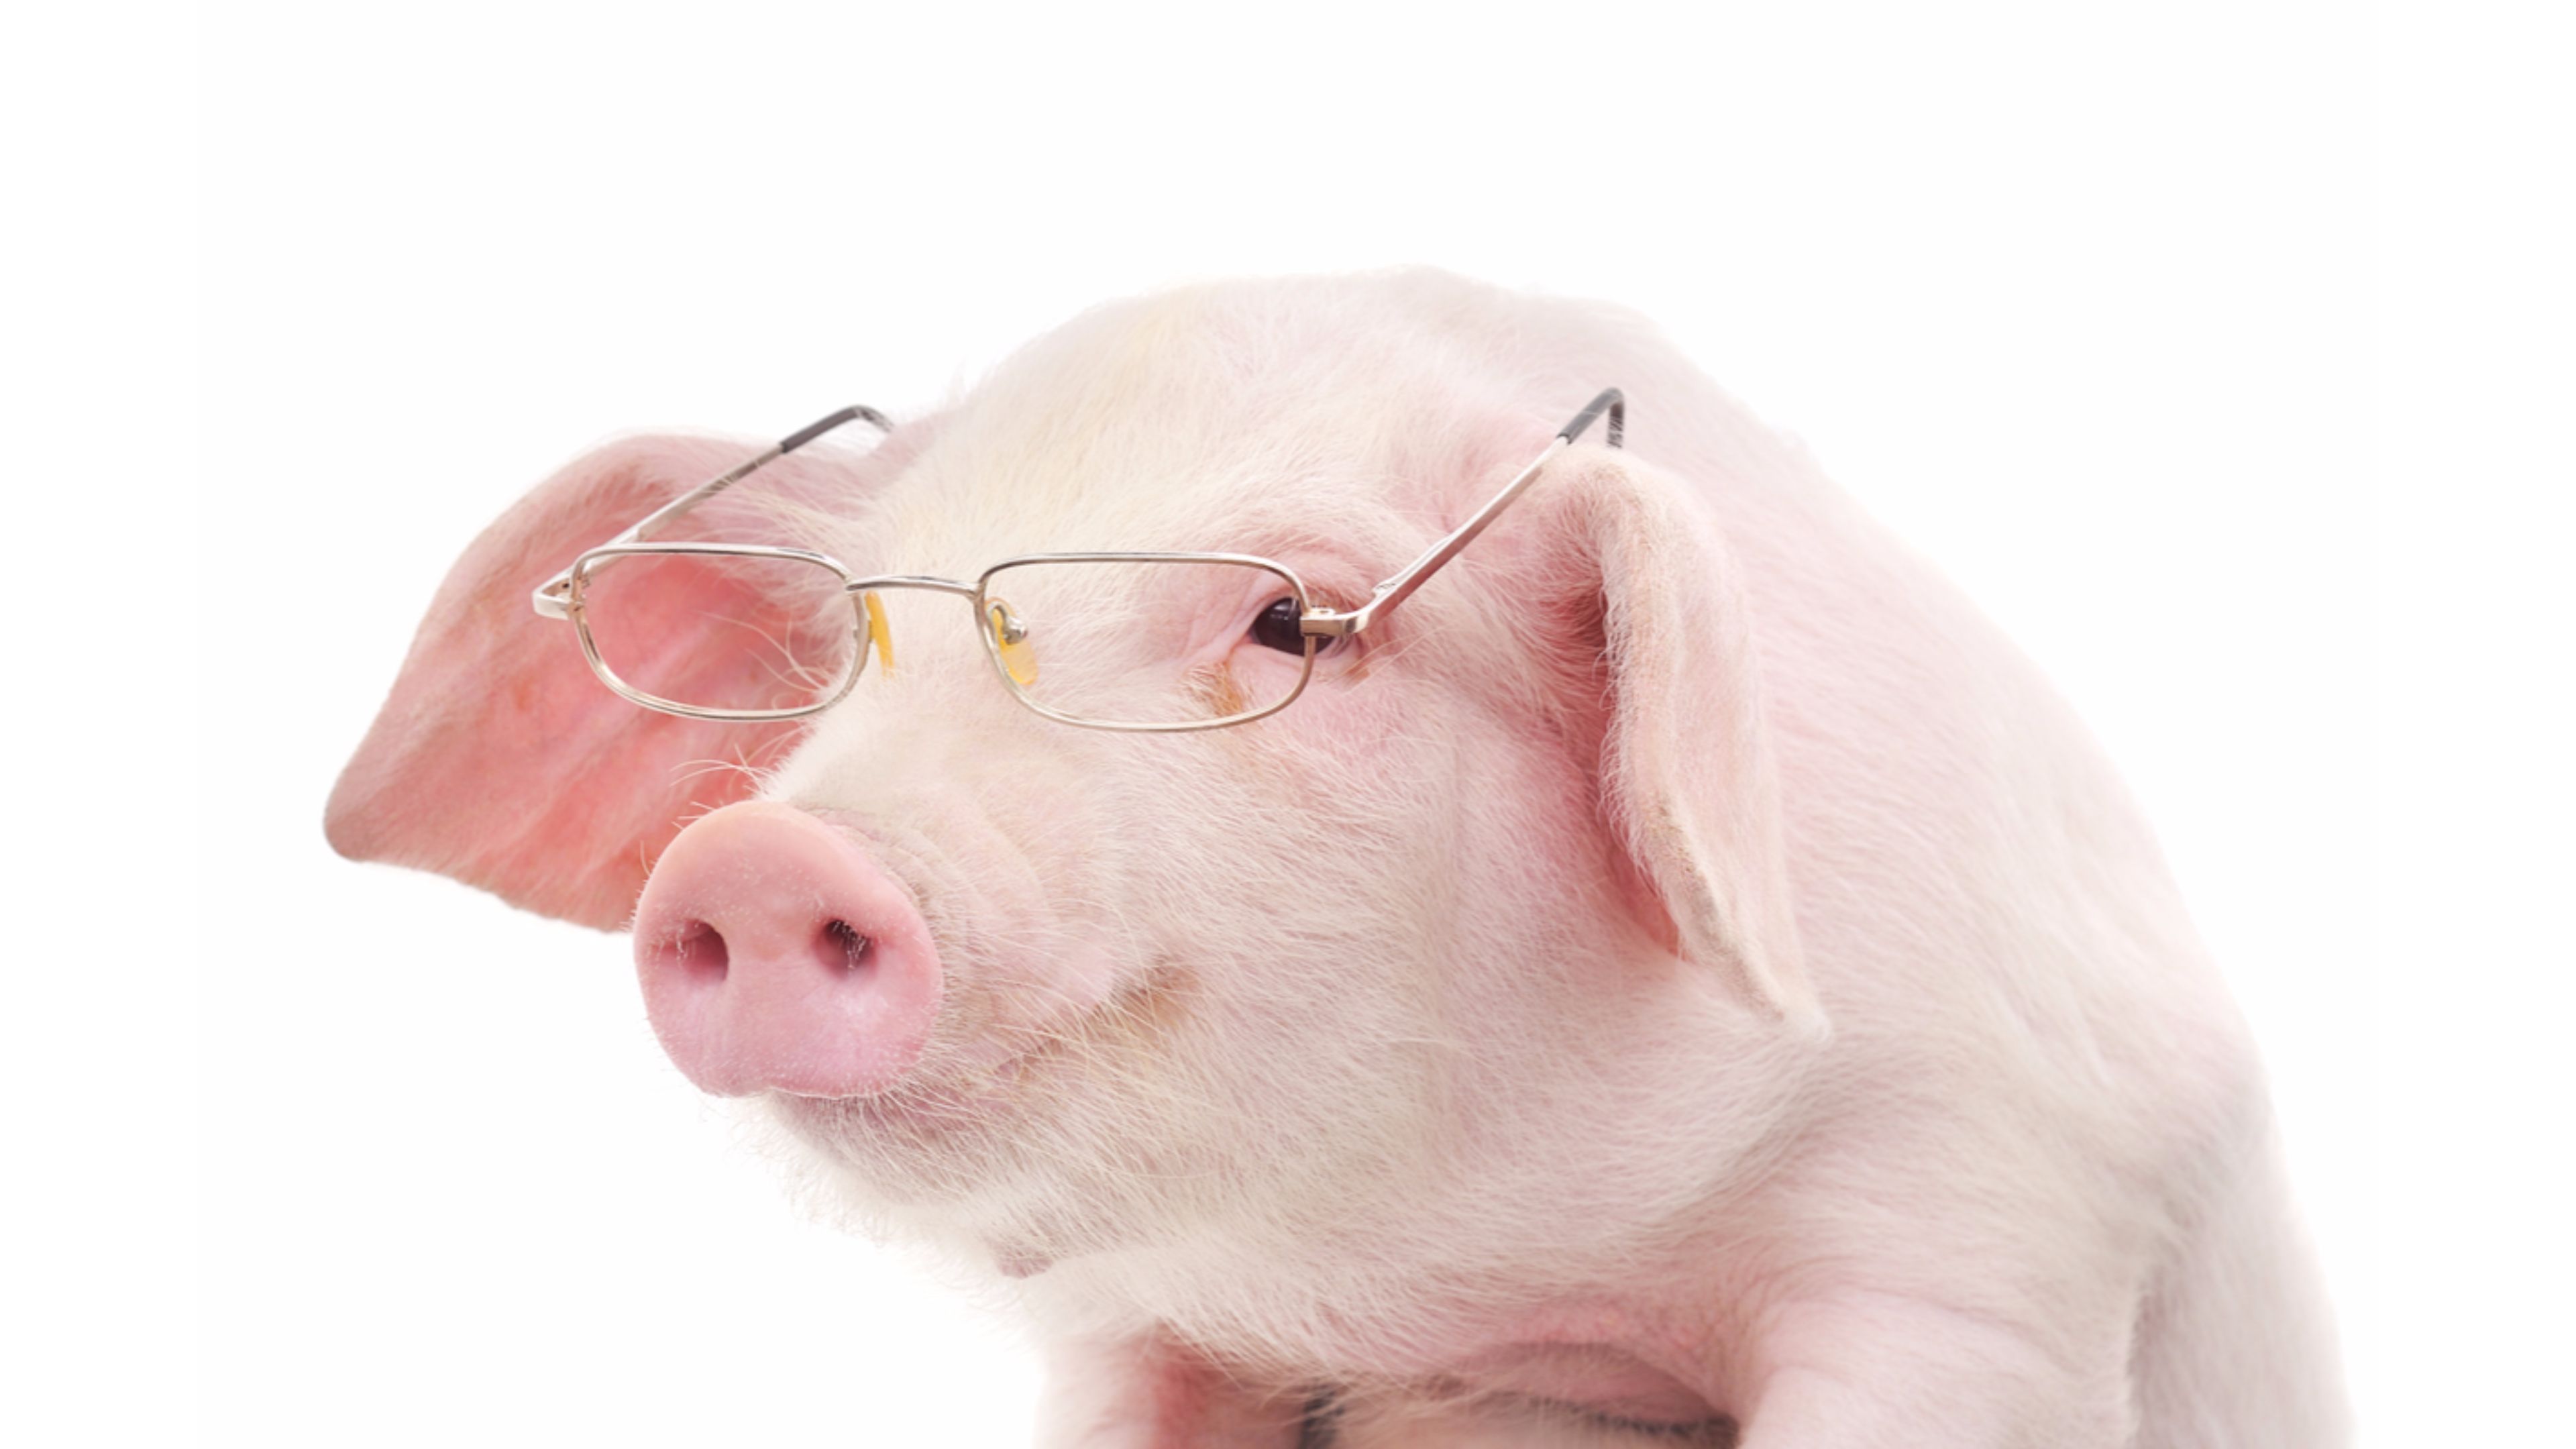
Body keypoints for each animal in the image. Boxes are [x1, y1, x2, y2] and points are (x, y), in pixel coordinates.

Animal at [326, 270, 2346, 1447]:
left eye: (1291, 621)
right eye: (853, 636)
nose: (758, 859)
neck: (1498, 1298)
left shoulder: (2002, 1217)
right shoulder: (1131, 1328)